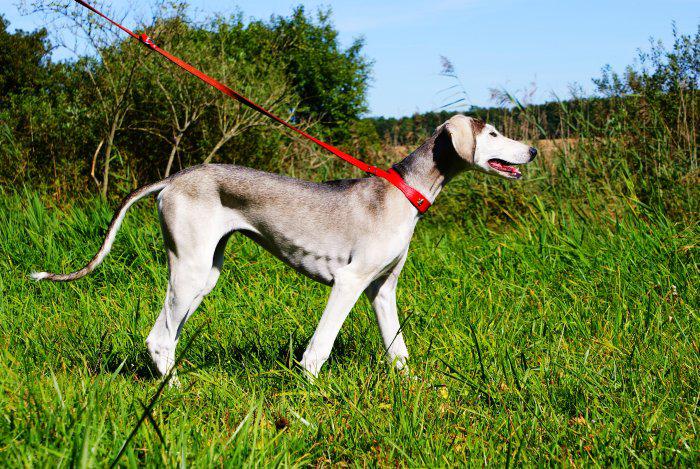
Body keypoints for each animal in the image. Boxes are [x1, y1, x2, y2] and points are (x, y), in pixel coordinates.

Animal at [31, 115, 536, 378]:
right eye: (492, 134)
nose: (531, 151)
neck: (402, 193)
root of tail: (173, 178)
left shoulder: (382, 291)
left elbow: (399, 351)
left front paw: (411, 392)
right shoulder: (349, 282)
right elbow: (320, 347)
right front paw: (308, 396)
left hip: (204, 274)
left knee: (168, 337)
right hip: (189, 269)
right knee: (158, 338)